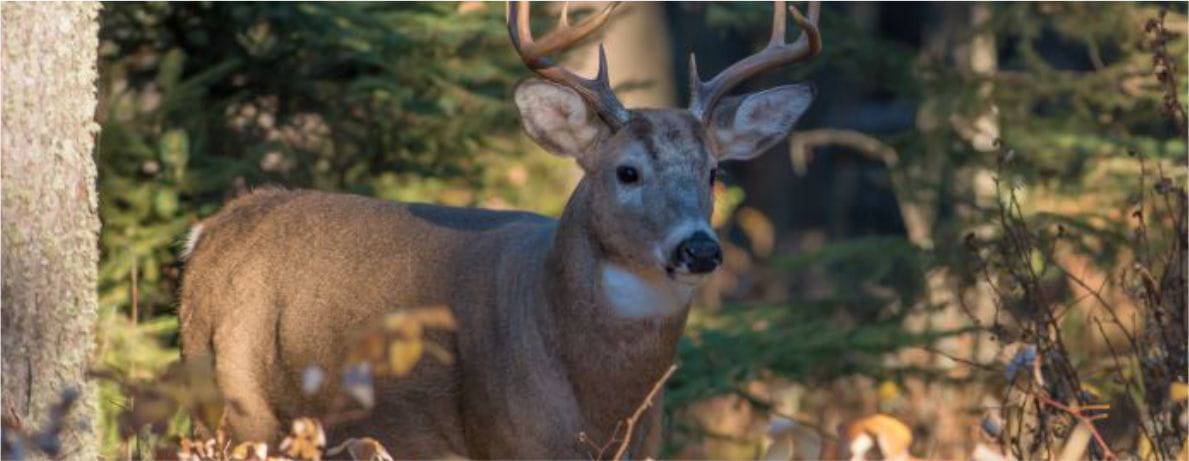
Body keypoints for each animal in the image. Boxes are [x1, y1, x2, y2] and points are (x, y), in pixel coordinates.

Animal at [179, 1, 821, 458]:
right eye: (627, 171)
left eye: (714, 172)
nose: (700, 249)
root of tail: (210, 232)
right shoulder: (506, 435)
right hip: (232, 403)